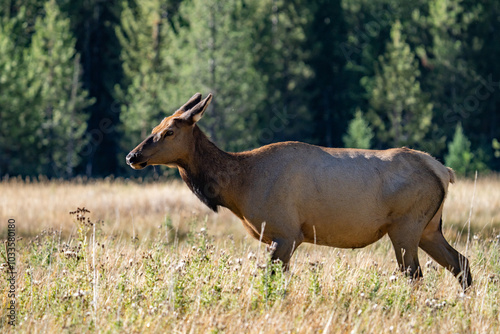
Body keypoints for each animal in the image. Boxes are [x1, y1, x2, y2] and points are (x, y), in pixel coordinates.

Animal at [127, 92, 470, 288]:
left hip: (405, 226)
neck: (238, 186)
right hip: (429, 228)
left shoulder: (286, 232)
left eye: (169, 132)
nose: (133, 155)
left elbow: (270, 281)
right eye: (155, 127)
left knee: (415, 275)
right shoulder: (283, 237)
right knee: (461, 264)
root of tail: (443, 171)